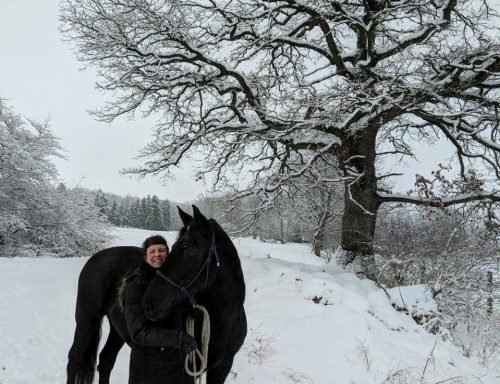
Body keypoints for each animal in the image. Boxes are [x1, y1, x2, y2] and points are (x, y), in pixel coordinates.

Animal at [66, 207, 246, 384]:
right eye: (172, 248)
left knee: (106, 361)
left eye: (188, 250)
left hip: (117, 330)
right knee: (74, 359)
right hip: (87, 321)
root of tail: (97, 257)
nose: (148, 304)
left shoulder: (222, 368)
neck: (223, 320)